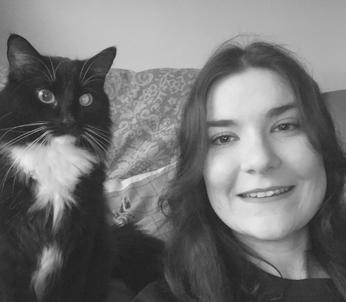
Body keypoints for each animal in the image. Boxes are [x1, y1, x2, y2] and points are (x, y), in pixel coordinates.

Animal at [0, 34, 162, 300]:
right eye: (45, 95)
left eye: (85, 99)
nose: (68, 120)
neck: (55, 159)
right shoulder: (11, 253)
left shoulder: (79, 247)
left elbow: (67, 291)